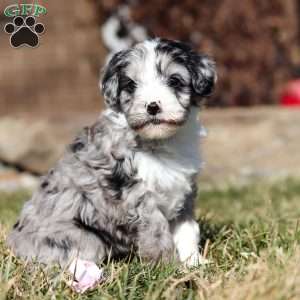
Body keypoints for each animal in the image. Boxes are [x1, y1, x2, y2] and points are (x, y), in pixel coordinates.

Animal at [7, 38, 216, 268]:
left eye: (175, 81)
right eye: (131, 85)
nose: (152, 107)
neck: (159, 142)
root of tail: (15, 243)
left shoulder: (185, 192)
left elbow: (188, 230)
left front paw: (194, 263)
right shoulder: (136, 196)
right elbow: (157, 231)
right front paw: (166, 267)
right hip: (81, 238)